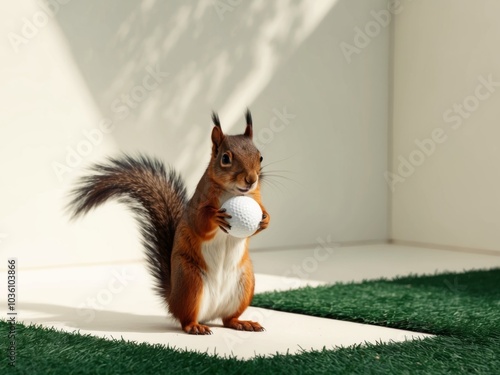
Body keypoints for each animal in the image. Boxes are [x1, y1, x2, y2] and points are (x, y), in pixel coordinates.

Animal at [68, 109, 270, 334]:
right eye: (225, 158)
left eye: (260, 157)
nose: (251, 179)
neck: (233, 192)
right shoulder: (198, 204)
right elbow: (200, 224)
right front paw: (215, 216)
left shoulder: (256, 197)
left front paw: (265, 219)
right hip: (190, 282)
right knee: (186, 318)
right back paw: (195, 326)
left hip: (245, 283)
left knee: (228, 319)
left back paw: (242, 323)